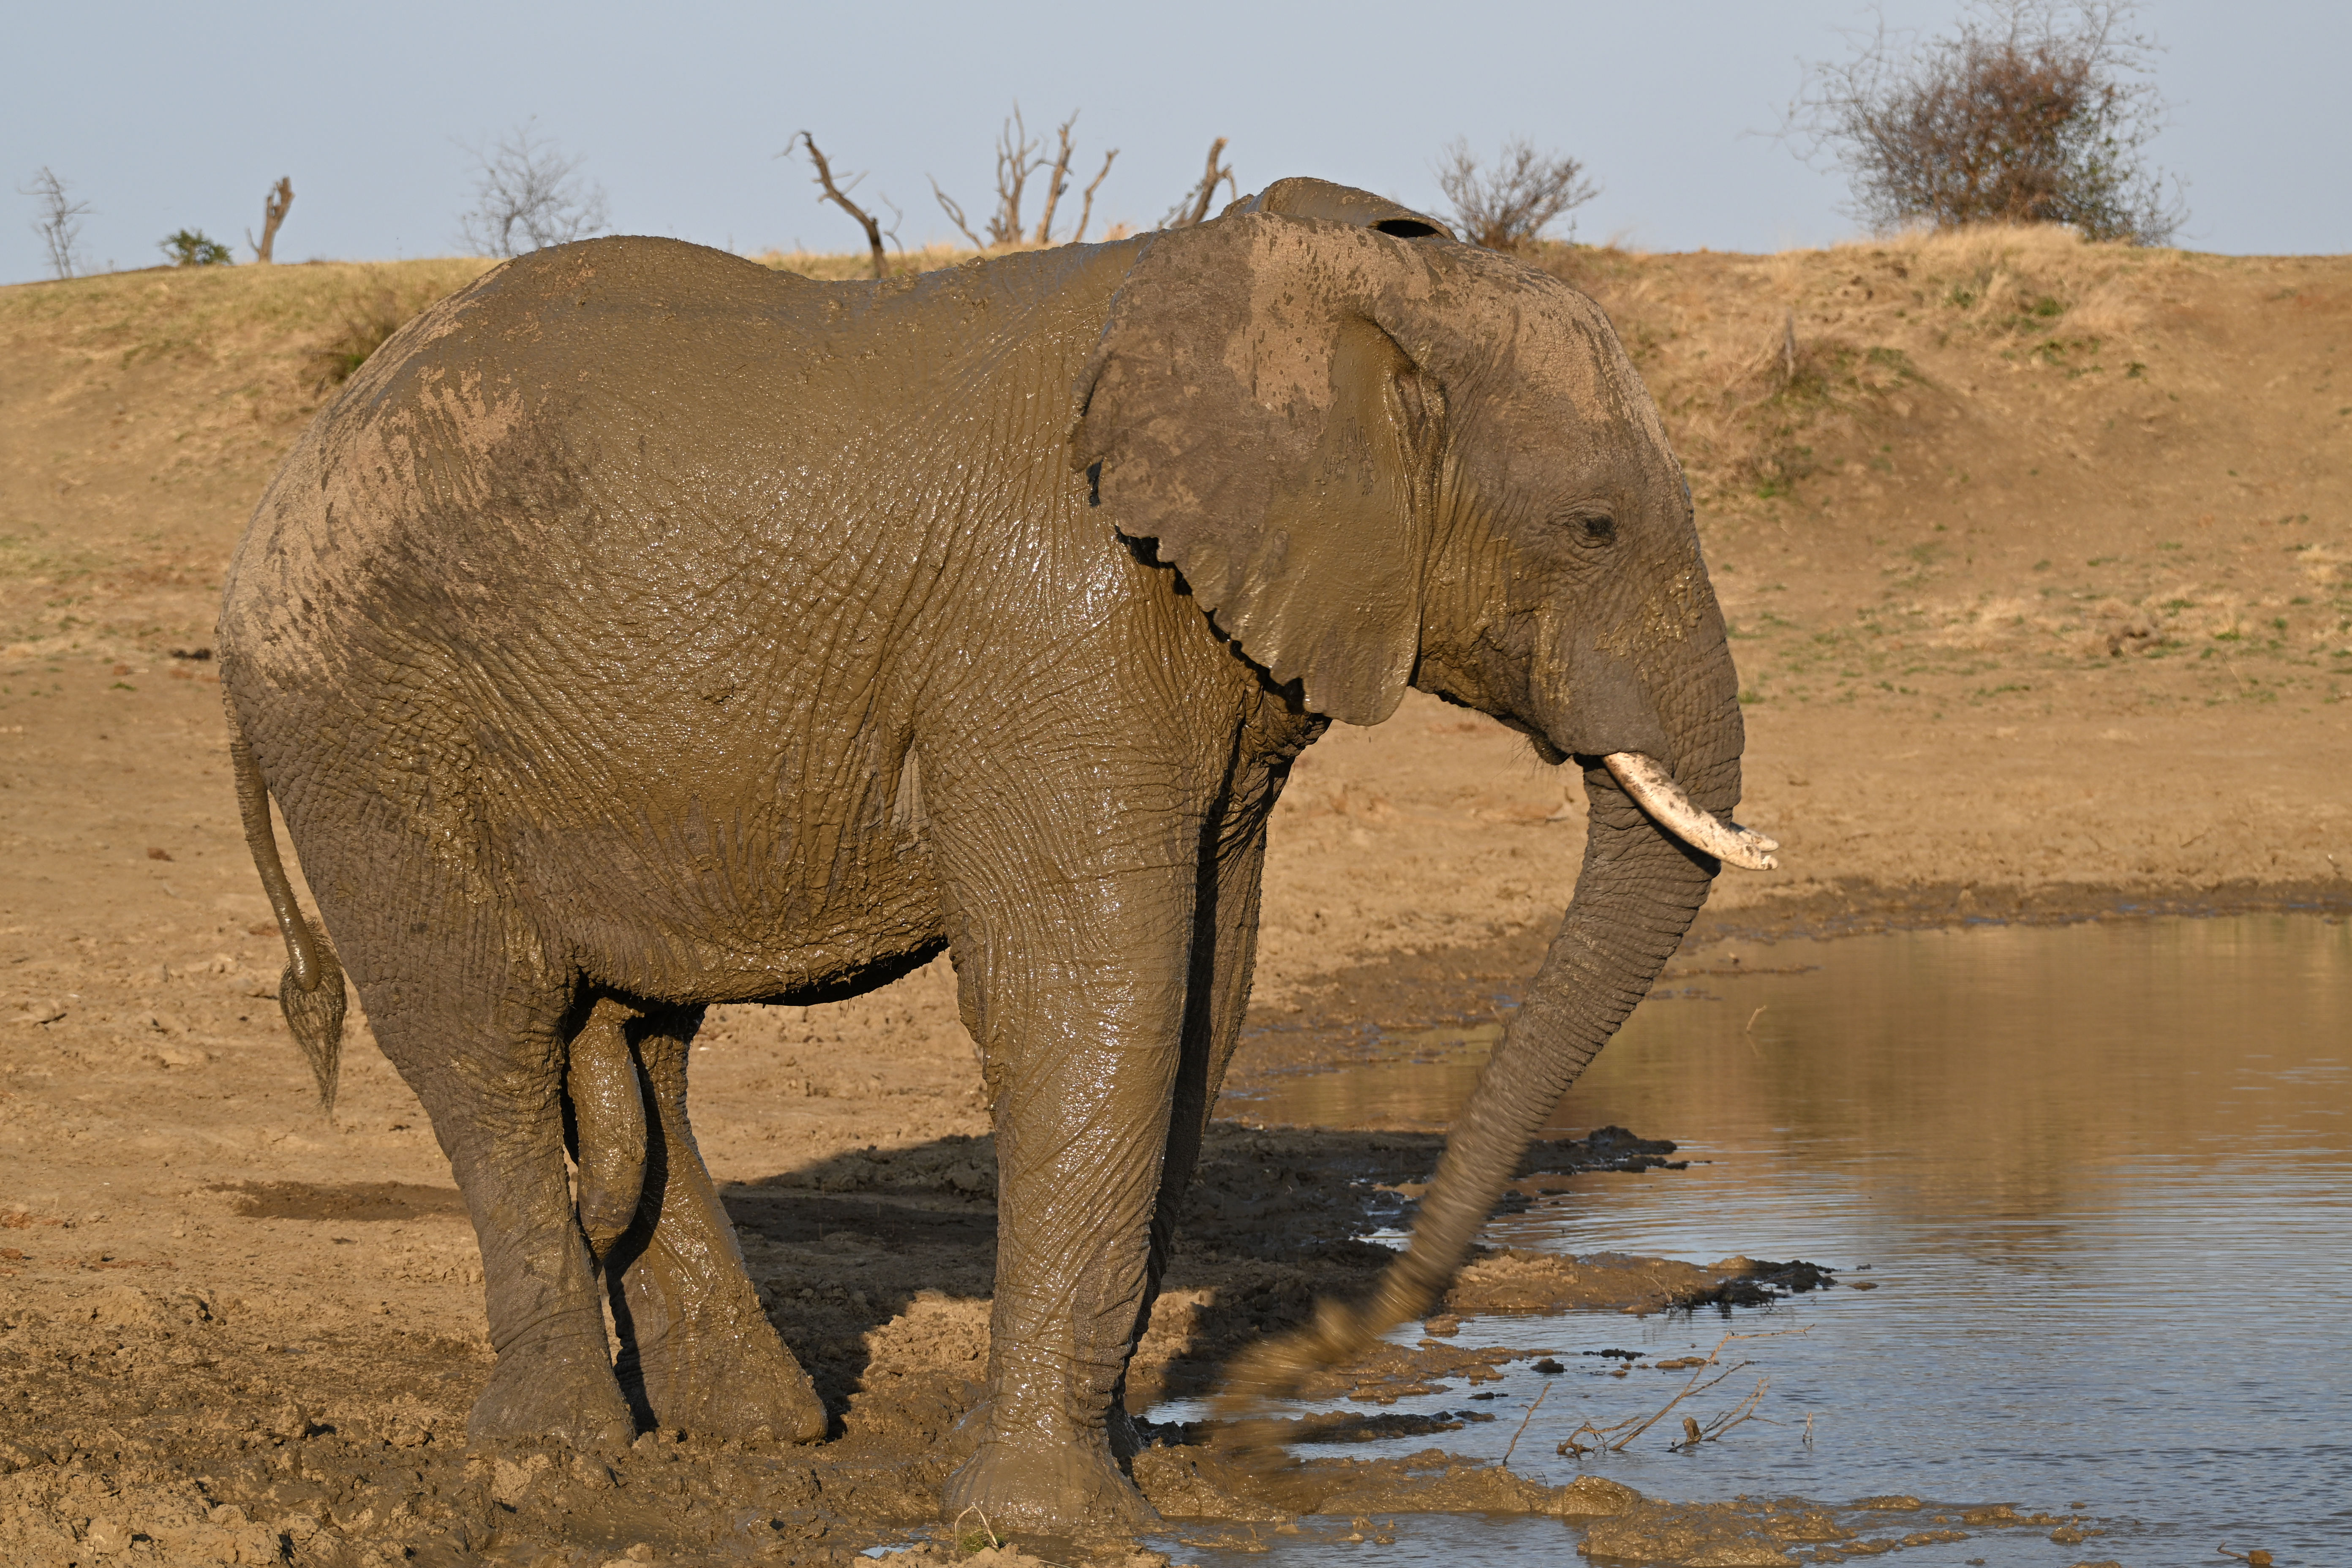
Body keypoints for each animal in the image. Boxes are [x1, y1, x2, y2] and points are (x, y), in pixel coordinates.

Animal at [217, 176, 1773, 1532]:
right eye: (1592, 527)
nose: (1310, 1359)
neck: (1332, 291)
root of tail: (275, 504)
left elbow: (1203, 994)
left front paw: (1078, 1476)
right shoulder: (1060, 618)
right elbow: (1094, 993)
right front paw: (1045, 1520)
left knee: (634, 1044)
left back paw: (757, 1431)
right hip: (367, 719)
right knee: (484, 1033)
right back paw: (555, 1452)